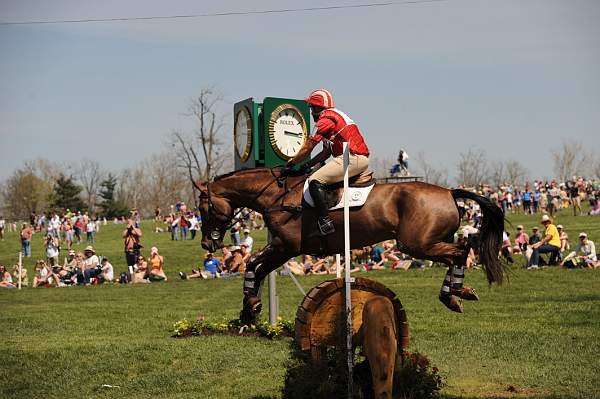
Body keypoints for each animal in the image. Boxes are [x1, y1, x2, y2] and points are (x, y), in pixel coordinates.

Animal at [193, 166, 506, 324]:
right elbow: (255, 269)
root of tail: (450, 192)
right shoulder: (283, 249)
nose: (207, 243)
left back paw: (454, 295)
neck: (276, 196)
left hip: (417, 245)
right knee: (458, 253)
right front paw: (249, 309)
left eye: (203, 208)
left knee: (460, 253)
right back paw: (455, 293)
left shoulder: (286, 247)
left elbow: (251, 265)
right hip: (427, 242)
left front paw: (251, 304)